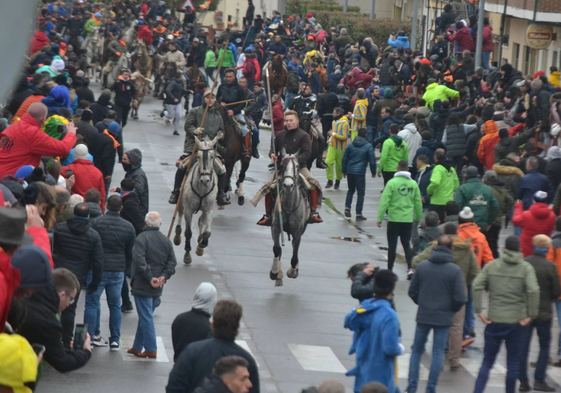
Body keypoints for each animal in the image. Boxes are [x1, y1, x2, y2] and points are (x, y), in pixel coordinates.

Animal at [173, 132, 223, 264]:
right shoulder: (188, 210)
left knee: (201, 221)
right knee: (179, 214)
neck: (202, 187)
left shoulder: (209, 209)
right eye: (198, 156)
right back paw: (177, 236)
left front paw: (202, 245)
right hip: (181, 201)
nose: (205, 180)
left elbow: (207, 232)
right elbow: (188, 232)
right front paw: (187, 255)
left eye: (212, 156)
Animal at [268, 149, 308, 284]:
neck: (289, 206)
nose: (288, 185)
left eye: (297, 166)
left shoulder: (298, 233)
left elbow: (295, 255)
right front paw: (275, 271)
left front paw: (293, 271)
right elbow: (276, 248)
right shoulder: (275, 227)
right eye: (282, 165)